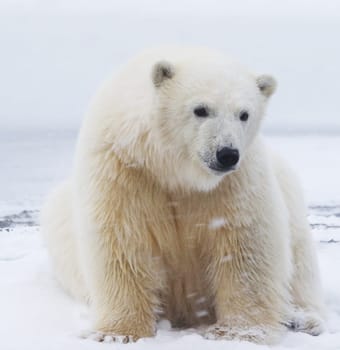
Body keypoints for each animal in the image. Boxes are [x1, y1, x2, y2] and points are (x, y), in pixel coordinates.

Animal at [41, 47, 326, 344]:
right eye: (200, 109)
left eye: (244, 114)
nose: (227, 154)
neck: (173, 168)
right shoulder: (124, 167)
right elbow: (123, 239)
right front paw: (116, 334)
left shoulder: (235, 181)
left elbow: (243, 243)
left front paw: (235, 333)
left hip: (286, 186)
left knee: (300, 261)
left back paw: (302, 318)